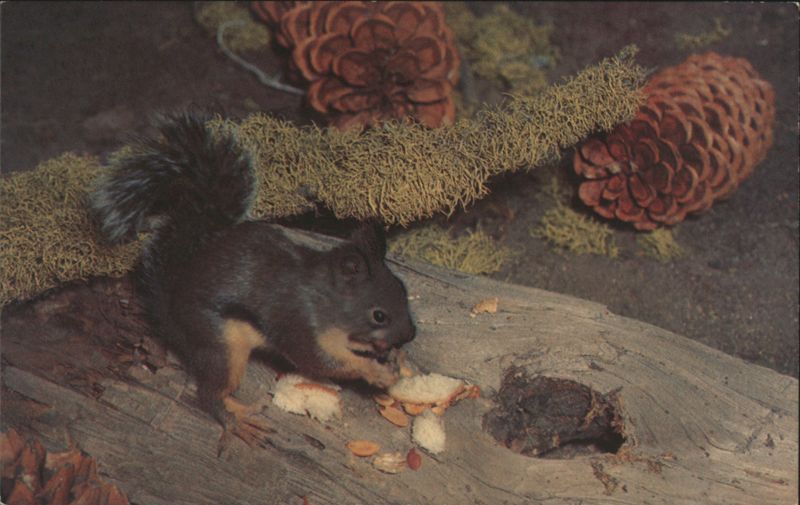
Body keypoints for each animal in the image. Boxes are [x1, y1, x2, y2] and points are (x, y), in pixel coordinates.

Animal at [89, 112, 416, 439]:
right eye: (379, 316)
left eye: (402, 288)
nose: (410, 335)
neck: (326, 298)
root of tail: (170, 306)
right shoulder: (299, 321)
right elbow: (321, 361)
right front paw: (374, 370)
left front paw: (393, 357)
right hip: (222, 345)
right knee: (209, 393)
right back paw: (237, 420)